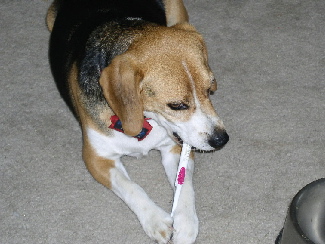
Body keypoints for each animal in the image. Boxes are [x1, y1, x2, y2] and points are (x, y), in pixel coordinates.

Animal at [46, 0, 228, 243]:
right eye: (176, 105)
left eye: (209, 89)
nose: (221, 140)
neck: (145, 120)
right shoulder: (97, 158)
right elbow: (131, 187)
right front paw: (156, 220)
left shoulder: (175, 148)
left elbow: (185, 186)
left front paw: (186, 224)